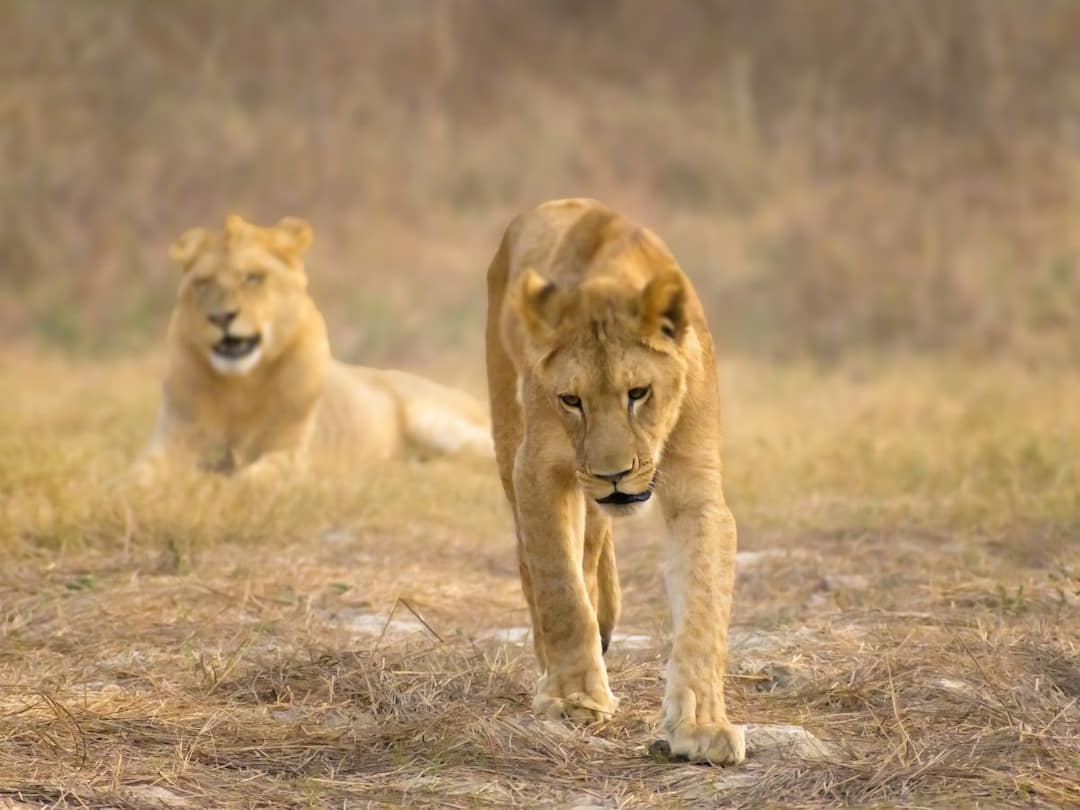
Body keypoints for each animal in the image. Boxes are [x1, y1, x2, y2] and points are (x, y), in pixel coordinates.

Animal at [139, 214, 492, 479]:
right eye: (202, 283)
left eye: (253, 278)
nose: (221, 316)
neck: (240, 386)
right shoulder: (168, 444)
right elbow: (137, 478)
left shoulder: (290, 454)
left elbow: (253, 478)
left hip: (439, 423)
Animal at [485, 198, 746, 765]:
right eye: (571, 400)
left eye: (638, 392)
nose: (613, 477)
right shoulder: (536, 470)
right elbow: (561, 591)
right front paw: (574, 698)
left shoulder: (696, 488)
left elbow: (703, 608)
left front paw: (701, 725)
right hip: (508, 433)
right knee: (538, 565)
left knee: (589, 551)